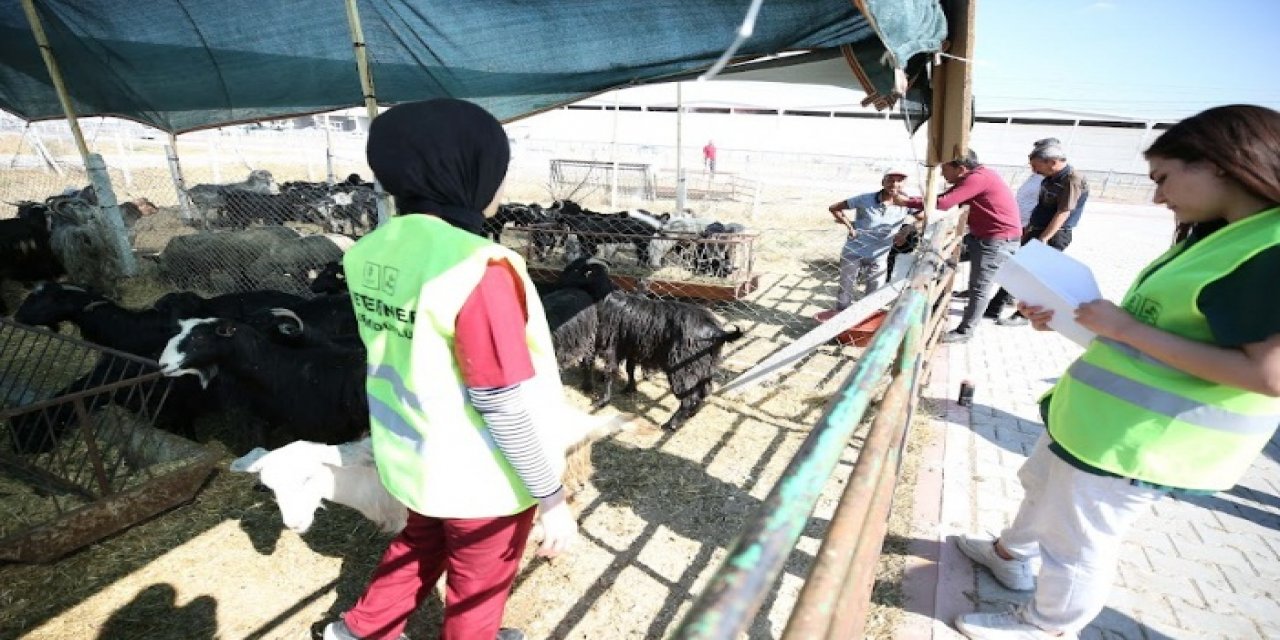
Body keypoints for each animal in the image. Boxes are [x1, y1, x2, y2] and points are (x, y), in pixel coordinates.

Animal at [593, 293, 747, 430]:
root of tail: (716, 331)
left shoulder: (612, 346)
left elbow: (610, 372)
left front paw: (603, 401)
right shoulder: (632, 347)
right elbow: (630, 368)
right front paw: (630, 388)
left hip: (682, 368)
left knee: (689, 397)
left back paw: (671, 424)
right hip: (704, 367)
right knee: (704, 391)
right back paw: (690, 414)